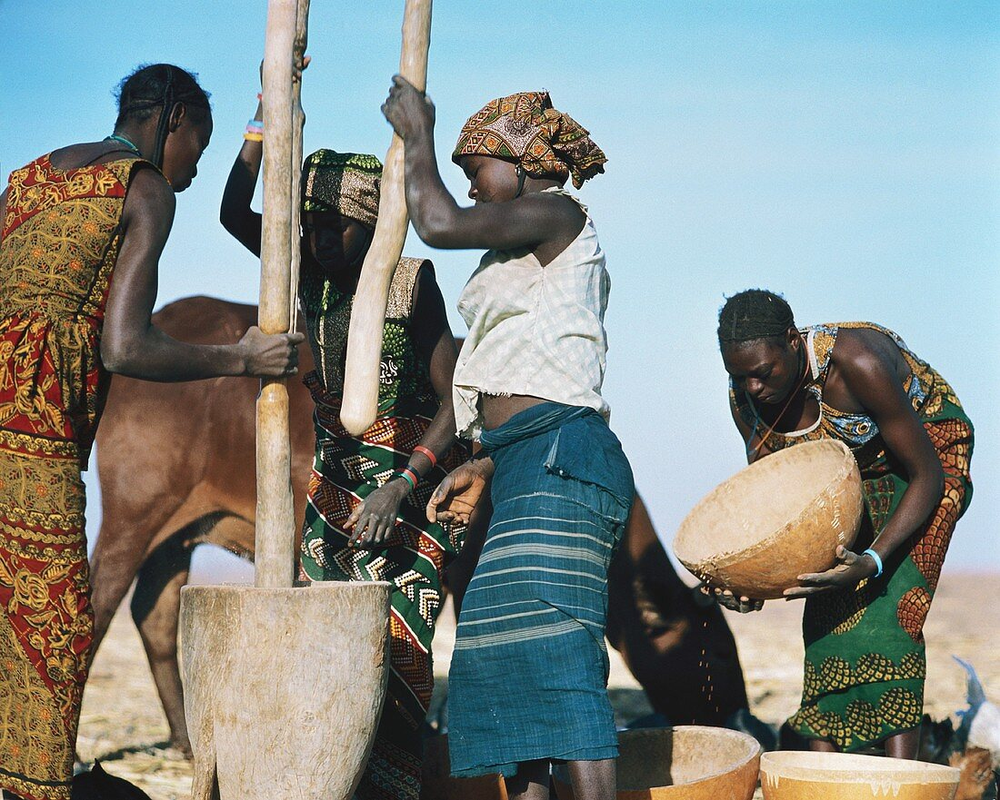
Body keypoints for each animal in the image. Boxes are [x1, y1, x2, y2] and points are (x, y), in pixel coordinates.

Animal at [92, 296, 752, 756]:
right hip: (135, 513)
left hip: (178, 530)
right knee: (101, 599)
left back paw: (184, 741)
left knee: (153, 616)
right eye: (718, 650)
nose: (750, 722)